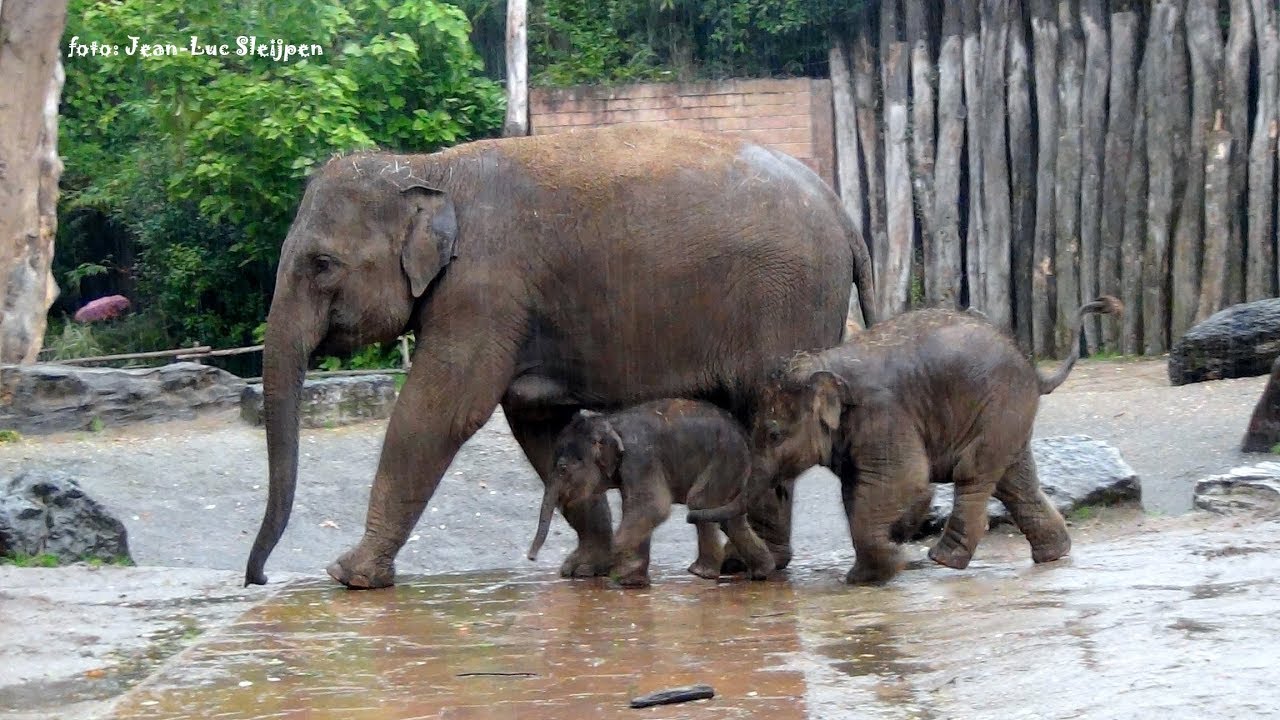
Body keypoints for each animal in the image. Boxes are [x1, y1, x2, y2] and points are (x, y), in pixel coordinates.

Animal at [526, 400, 775, 587]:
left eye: (562, 469)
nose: (531, 558)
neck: (611, 421)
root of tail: (745, 436)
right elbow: (637, 508)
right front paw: (631, 581)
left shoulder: (640, 457)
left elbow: (652, 506)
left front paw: (615, 563)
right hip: (734, 470)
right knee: (729, 517)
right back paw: (762, 571)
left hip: (725, 459)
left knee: (700, 502)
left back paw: (700, 573)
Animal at [742, 296, 1122, 585]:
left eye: (774, 434)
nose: (760, 574)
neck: (825, 362)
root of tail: (1034, 369)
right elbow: (856, 490)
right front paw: (877, 563)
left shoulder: (882, 414)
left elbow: (903, 478)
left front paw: (876, 571)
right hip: (1008, 417)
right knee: (1015, 481)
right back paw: (1054, 555)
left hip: (999, 408)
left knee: (974, 473)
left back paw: (944, 559)